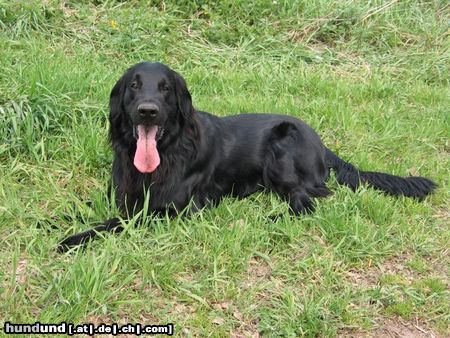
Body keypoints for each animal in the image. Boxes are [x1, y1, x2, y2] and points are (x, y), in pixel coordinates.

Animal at [58, 62, 438, 251]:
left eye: (165, 88)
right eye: (134, 85)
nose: (147, 111)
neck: (166, 153)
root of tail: (322, 143)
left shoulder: (174, 210)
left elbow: (116, 222)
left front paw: (73, 240)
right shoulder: (122, 194)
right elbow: (82, 209)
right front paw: (53, 222)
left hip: (284, 147)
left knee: (307, 200)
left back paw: (273, 218)